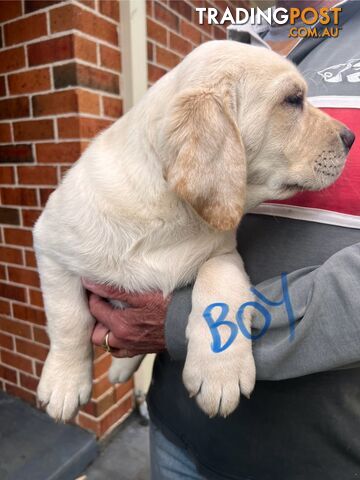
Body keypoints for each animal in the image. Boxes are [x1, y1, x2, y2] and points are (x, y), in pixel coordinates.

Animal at [34, 43, 352, 422]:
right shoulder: (51, 246)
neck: (168, 213)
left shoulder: (224, 254)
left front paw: (220, 372)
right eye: (293, 100)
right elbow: (69, 320)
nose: (351, 137)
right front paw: (64, 382)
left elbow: (218, 285)